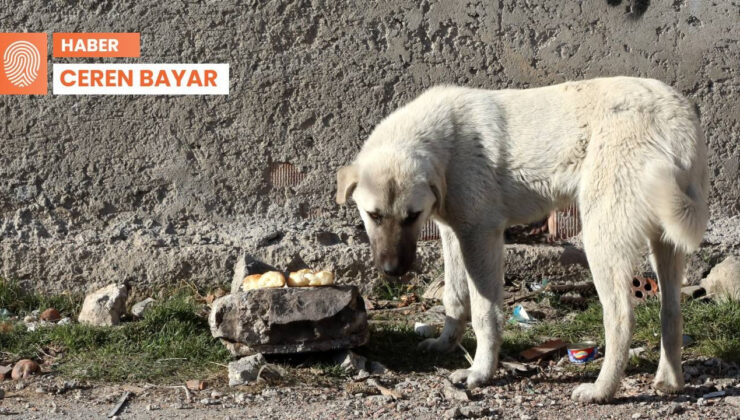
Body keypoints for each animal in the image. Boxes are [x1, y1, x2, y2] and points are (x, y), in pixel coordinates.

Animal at [336, 77, 704, 402]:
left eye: (411, 216)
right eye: (374, 215)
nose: (392, 271)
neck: (447, 142)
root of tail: (676, 118)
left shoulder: (481, 237)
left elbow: (485, 314)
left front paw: (480, 373)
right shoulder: (454, 234)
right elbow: (454, 298)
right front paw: (445, 343)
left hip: (601, 238)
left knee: (621, 317)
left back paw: (602, 390)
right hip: (666, 245)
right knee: (671, 312)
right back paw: (670, 381)